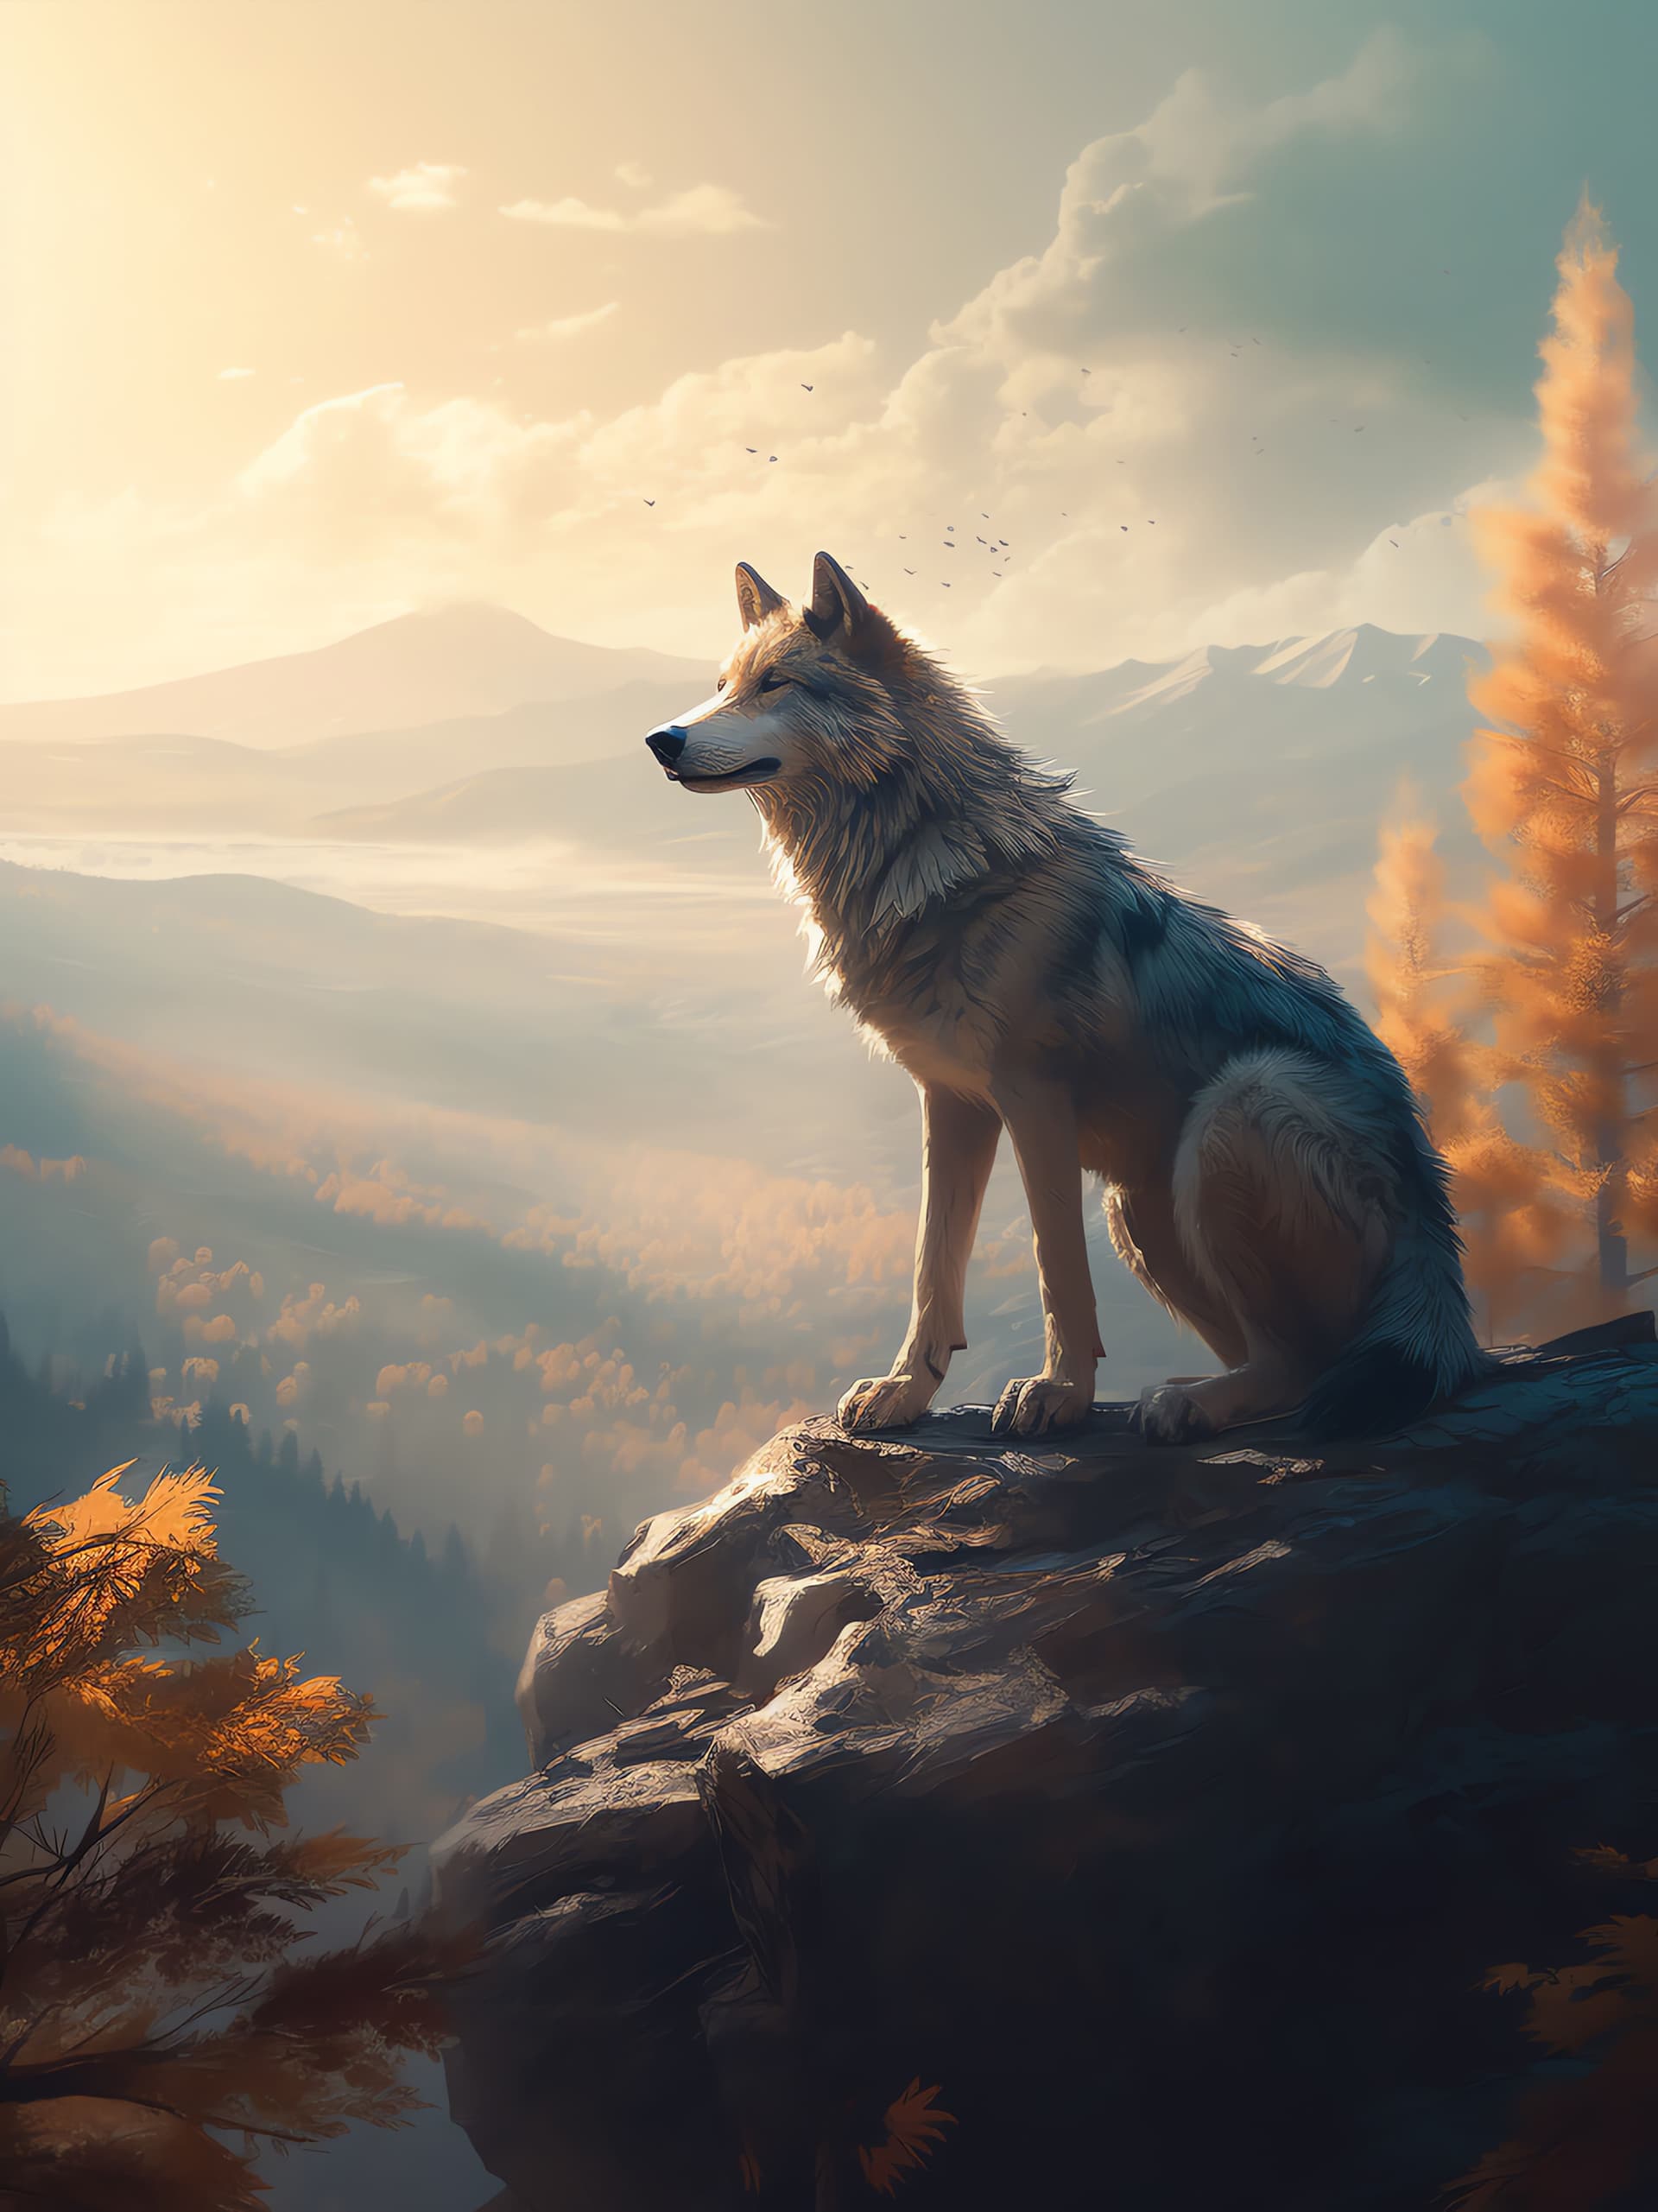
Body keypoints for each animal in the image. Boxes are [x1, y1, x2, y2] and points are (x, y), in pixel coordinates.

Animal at [644, 552, 1488, 1443]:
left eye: (776, 683)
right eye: (723, 685)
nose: (662, 740)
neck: (928, 863)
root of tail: (1438, 1236)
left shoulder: (1032, 1098)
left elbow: (1055, 1264)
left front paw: (1060, 1394)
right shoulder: (951, 1102)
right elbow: (930, 1265)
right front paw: (904, 1392)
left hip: (1238, 1108)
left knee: (1299, 1366)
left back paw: (1185, 1403)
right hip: (1140, 1210)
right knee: (1294, 1361)